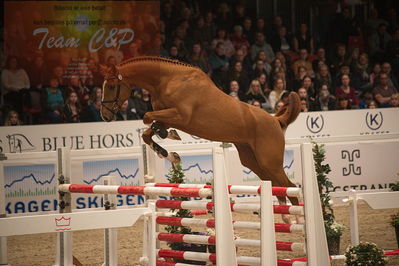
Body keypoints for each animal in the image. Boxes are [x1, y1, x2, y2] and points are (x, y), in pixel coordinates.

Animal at [101, 56, 304, 218]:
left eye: (111, 86)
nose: (105, 116)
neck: (167, 80)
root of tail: (276, 119)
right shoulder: (168, 116)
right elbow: (147, 131)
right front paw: (170, 153)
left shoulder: (181, 116)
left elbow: (147, 118)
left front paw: (168, 136)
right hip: (253, 160)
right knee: (277, 186)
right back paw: (287, 217)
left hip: (269, 161)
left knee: (290, 186)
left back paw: (297, 221)